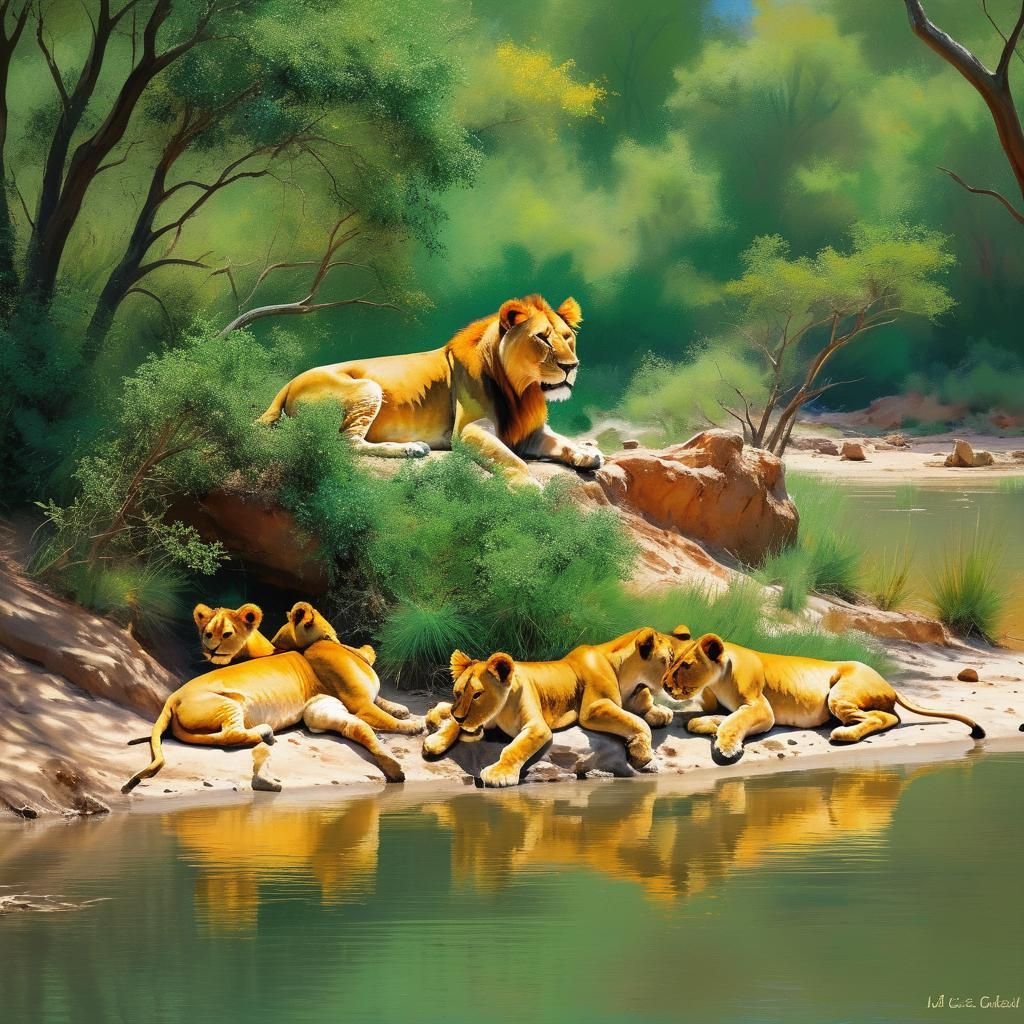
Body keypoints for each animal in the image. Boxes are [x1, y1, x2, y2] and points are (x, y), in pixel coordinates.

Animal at [123, 602, 423, 794]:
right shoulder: (357, 703)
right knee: (230, 735)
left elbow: (367, 719)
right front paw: (412, 726)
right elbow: (378, 718)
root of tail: (171, 699)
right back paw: (264, 733)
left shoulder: (324, 707)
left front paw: (401, 713)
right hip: (228, 704)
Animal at [256, 294, 602, 486]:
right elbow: (512, 461)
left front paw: (588, 453)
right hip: (367, 388)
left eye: (567, 337)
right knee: (346, 444)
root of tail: (288, 384)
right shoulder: (468, 432)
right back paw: (412, 448)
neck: (523, 392)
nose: (572, 366)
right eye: (543, 338)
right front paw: (530, 489)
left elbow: (562, 442)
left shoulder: (530, 432)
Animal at [421, 627, 688, 787]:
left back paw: (435, 718)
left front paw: (660, 713)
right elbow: (638, 722)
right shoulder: (592, 709)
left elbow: (642, 707)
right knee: (450, 713)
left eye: (477, 695)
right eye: (670, 657)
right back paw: (435, 726)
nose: (672, 682)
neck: (626, 675)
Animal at [661, 633, 986, 765]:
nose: (664, 684)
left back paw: (843, 733)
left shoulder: (762, 709)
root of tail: (888, 681)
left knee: (878, 716)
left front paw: (726, 748)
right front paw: (708, 725)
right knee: (891, 716)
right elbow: (719, 718)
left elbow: (735, 722)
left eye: (685, 666)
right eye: (672, 660)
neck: (715, 682)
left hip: (839, 694)